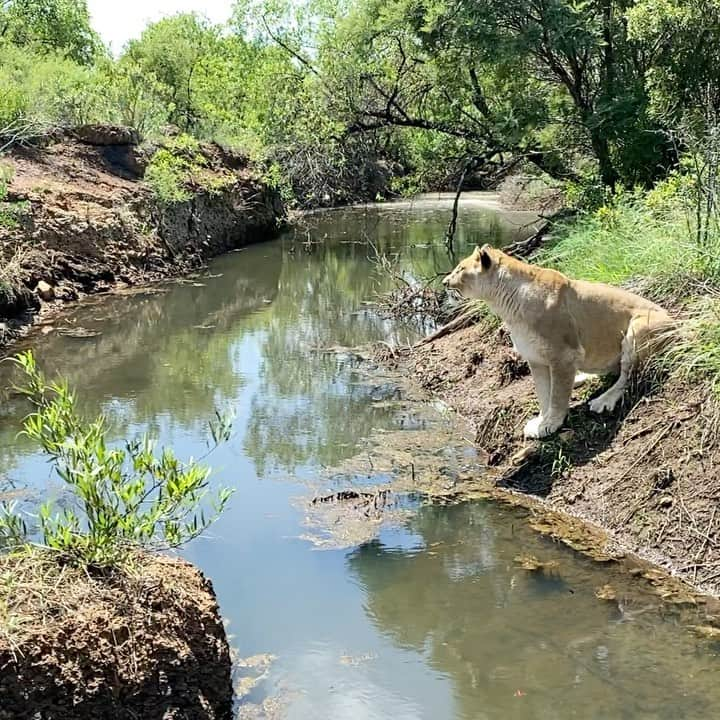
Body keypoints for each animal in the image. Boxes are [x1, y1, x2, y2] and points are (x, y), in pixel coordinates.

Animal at [442, 245, 672, 438]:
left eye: (460, 269)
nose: (444, 283)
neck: (506, 305)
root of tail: (677, 322)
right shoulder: (536, 359)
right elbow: (544, 393)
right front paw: (542, 420)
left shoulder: (564, 355)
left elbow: (558, 395)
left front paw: (552, 423)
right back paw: (580, 377)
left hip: (638, 329)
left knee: (627, 376)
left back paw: (603, 400)